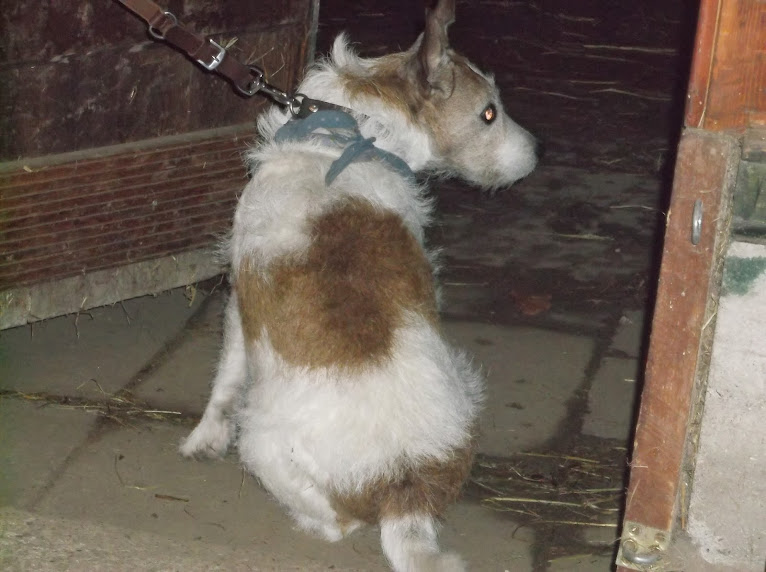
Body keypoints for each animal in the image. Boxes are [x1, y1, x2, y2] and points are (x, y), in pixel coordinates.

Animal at [180, 1, 537, 570]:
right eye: (488, 113)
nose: (538, 152)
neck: (352, 138)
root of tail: (404, 489)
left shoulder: (238, 300)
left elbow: (225, 380)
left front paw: (203, 439)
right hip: (465, 382)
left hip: (262, 443)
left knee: (337, 525)